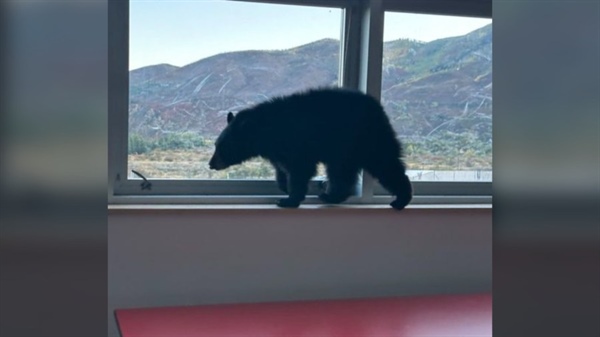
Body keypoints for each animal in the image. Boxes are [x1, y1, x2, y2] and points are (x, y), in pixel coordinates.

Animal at [207, 87, 412, 207]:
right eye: (216, 145)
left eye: (222, 147)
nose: (211, 164)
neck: (267, 132)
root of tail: (378, 107)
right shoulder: (277, 150)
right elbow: (282, 170)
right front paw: (284, 188)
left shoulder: (296, 143)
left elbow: (300, 170)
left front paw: (289, 199)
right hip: (346, 150)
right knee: (342, 173)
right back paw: (332, 196)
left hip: (365, 139)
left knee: (384, 164)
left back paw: (401, 198)